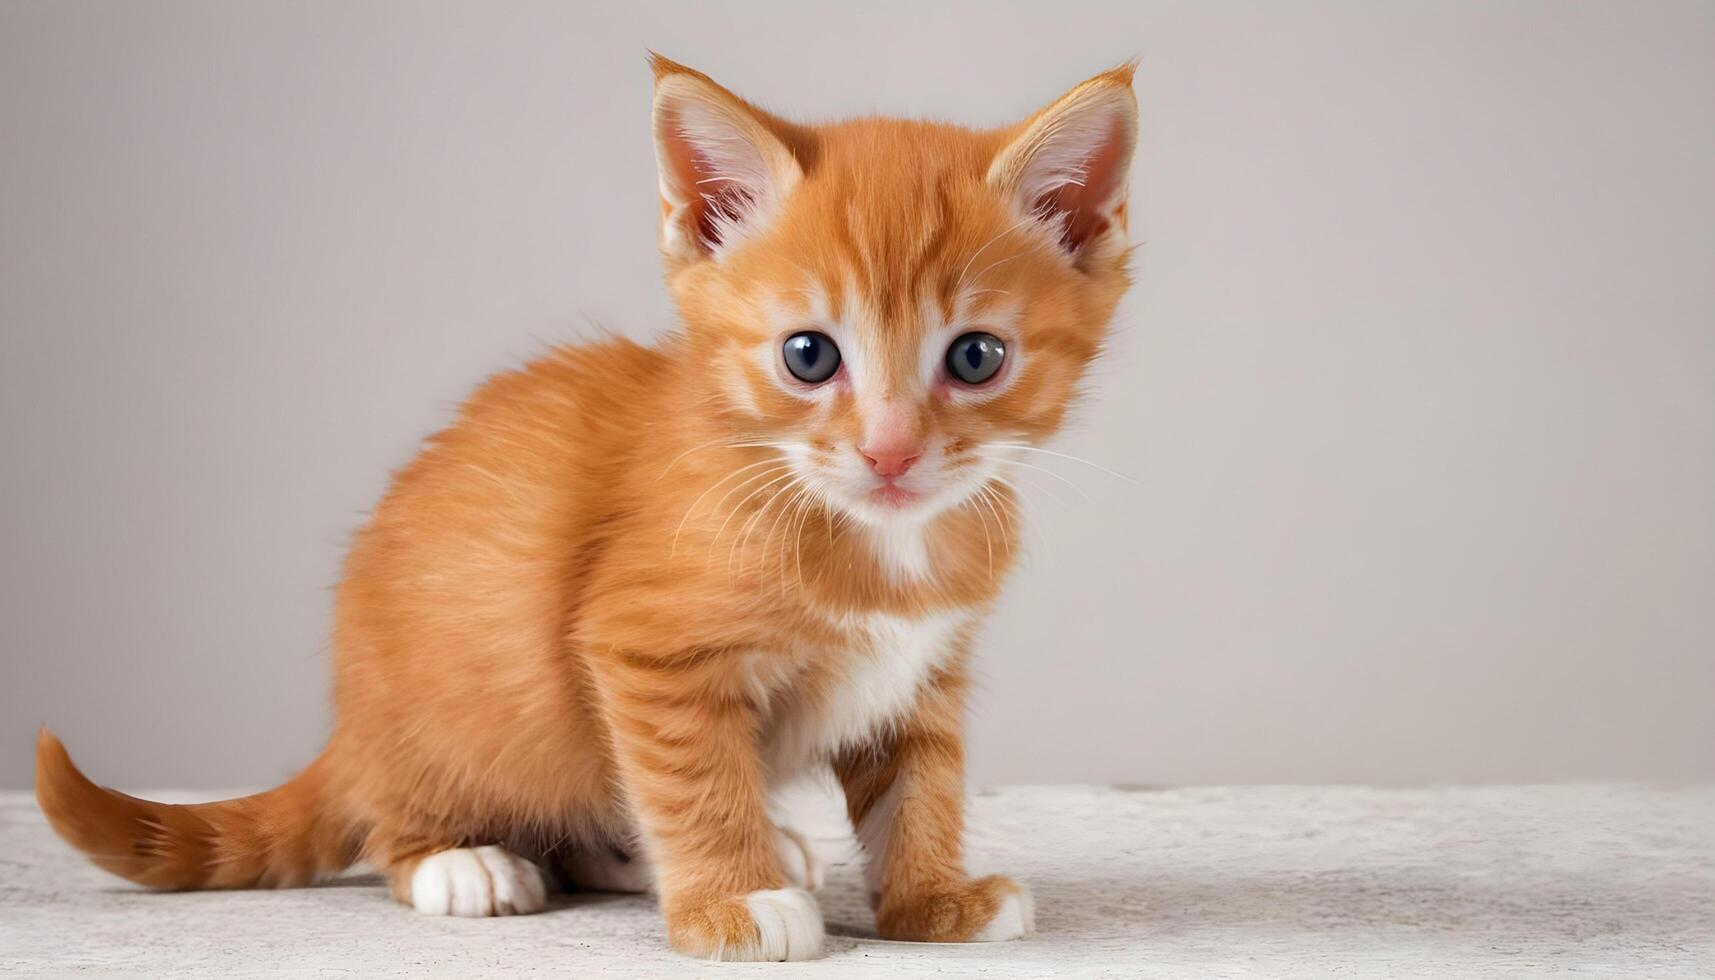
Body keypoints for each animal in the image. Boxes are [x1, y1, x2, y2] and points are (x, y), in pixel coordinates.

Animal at [36, 57, 1138, 961]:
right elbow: (692, 779)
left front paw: (931, 901)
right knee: (405, 816)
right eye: (808, 354)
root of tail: (348, 726)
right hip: (456, 704)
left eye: (975, 357)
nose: (891, 451)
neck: (877, 534)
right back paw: (461, 861)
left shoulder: (923, 671)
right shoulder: (643, 647)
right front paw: (736, 903)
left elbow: (921, 785)